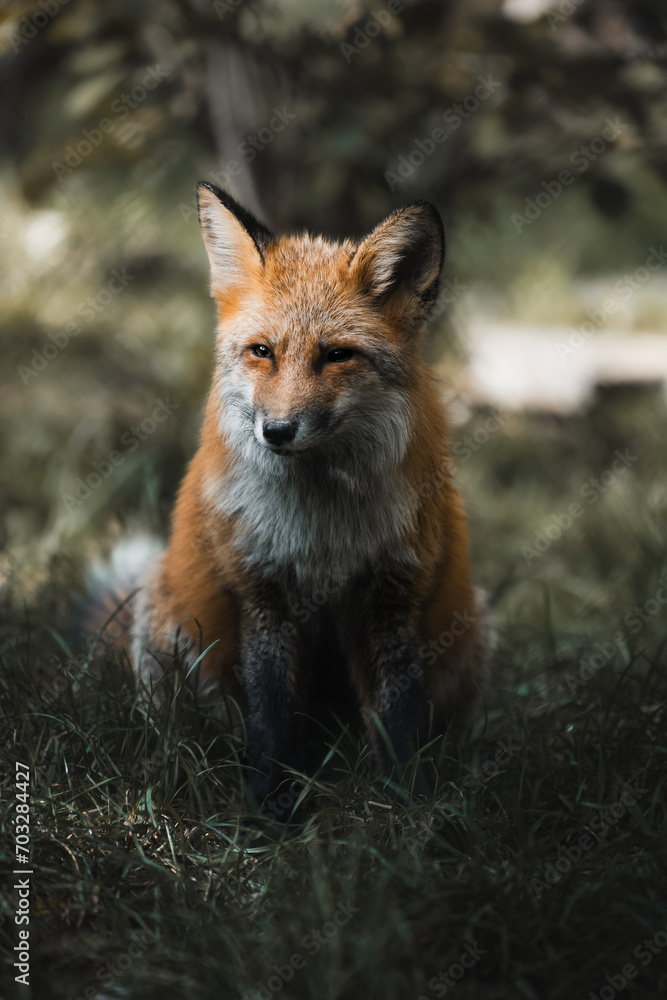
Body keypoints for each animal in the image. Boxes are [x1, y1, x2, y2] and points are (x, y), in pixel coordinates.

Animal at [89, 183, 493, 812]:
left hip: (467, 629)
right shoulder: (264, 594)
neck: (323, 531)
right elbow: (274, 720)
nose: (276, 431)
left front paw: (409, 807)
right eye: (262, 352)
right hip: (175, 633)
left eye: (337, 355)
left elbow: (399, 721)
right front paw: (270, 809)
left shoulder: (392, 595)